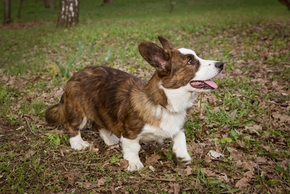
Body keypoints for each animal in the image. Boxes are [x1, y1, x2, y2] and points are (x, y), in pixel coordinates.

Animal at [45, 35, 223, 171]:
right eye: (190, 62)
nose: (221, 64)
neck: (163, 102)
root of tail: (74, 75)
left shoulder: (176, 127)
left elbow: (181, 137)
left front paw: (182, 155)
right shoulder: (130, 133)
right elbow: (133, 148)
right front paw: (134, 164)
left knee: (98, 125)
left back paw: (110, 140)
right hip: (78, 112)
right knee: (71, 126)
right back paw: (78, 144)